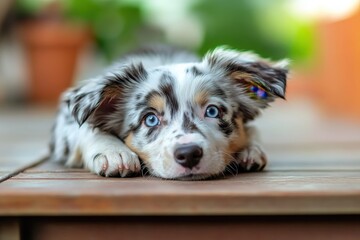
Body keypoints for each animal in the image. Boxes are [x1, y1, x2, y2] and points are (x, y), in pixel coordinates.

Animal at [50, 45, 288, 180]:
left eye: (212, 111)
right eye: (150, 119)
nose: (189, 154)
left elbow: (252, 129)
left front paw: (250, 149)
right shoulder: (65, 122)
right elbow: (86, 129)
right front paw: (113, 153)